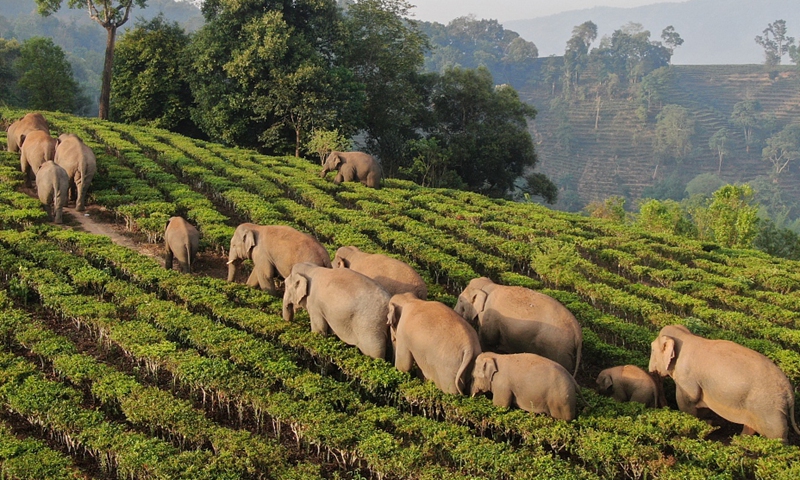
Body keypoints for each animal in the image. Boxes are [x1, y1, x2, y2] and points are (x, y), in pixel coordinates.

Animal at [648, 322, 800, 442]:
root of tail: (790, 393)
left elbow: (686, 402)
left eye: (652, 349)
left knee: (777, 438)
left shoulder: (686, 377)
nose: (664, 408)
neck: (686, 336)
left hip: (769, 411)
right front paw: (707, 424)